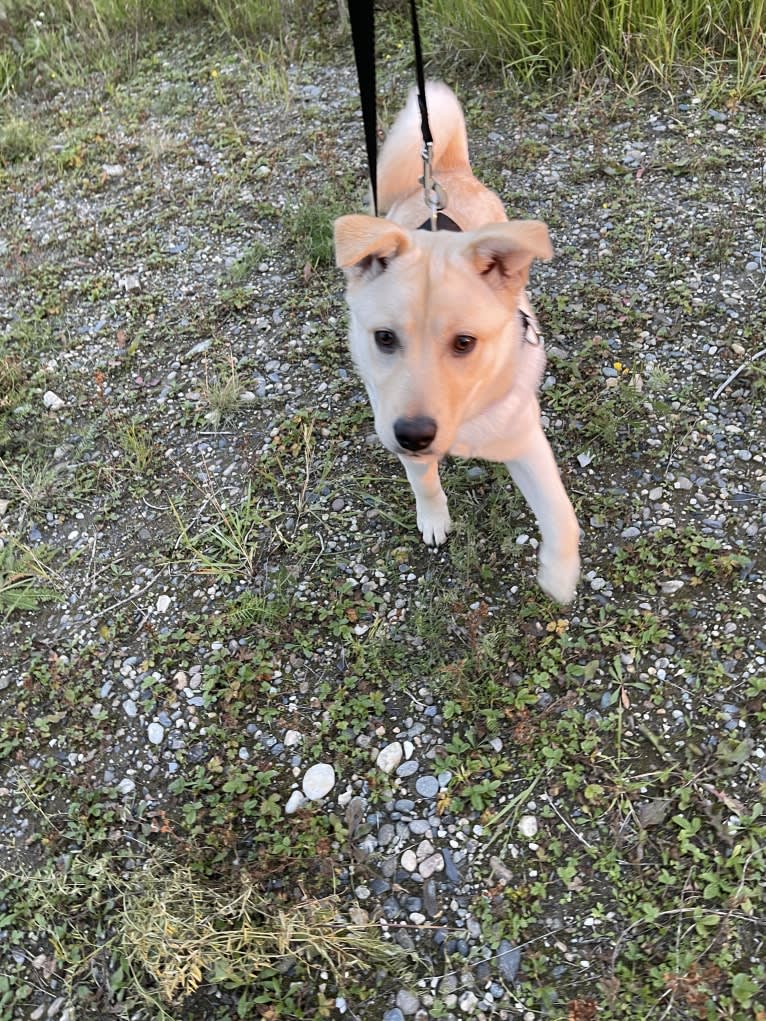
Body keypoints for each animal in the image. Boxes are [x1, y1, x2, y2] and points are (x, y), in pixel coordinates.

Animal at [332, 85, 580, 604]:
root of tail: (443, 172)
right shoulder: (397, 425)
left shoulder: (525, 440)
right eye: (385, 338)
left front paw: (560, 573)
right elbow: (423, 481)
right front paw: (434, 518)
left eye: (465, 342)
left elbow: (560, 512)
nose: (414, 434)